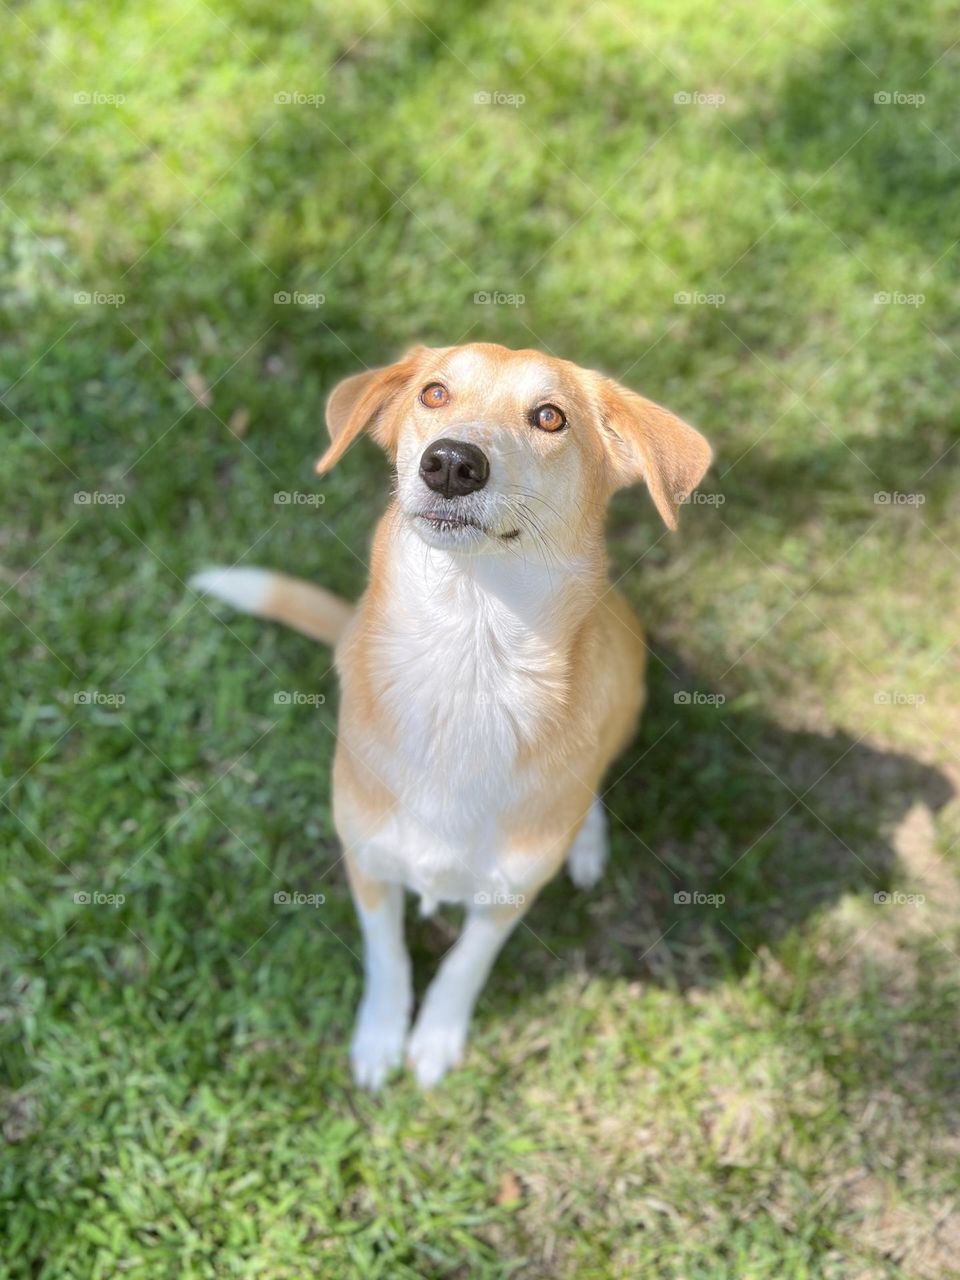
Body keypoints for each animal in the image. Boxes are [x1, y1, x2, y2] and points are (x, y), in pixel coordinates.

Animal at [192, 343, 711, 1090]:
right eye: (434, 394)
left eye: (550, 416)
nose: (451, 463)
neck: (467, 654)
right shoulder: (368, 861)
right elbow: (388, 956)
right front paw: (381, 1035)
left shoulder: (506, 895)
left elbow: (466, 963)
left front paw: (435, 1037)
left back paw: (586, 840)